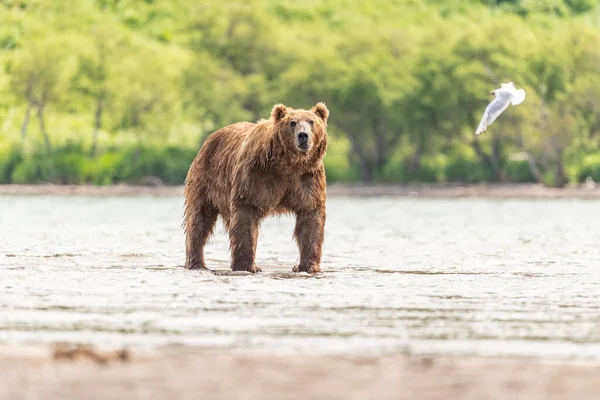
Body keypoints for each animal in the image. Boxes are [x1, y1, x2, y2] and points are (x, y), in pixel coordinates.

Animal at [185, 101, 330, 274]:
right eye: (292, 122)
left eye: (311, 121)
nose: (303, 135)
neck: (288, 164)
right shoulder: (256, 177)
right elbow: (246, 215)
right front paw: (248, 266)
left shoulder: (307, 179)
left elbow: (310, 219)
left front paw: (307, 266)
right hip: (205, 180)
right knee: (199, 219)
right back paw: (197, 263)